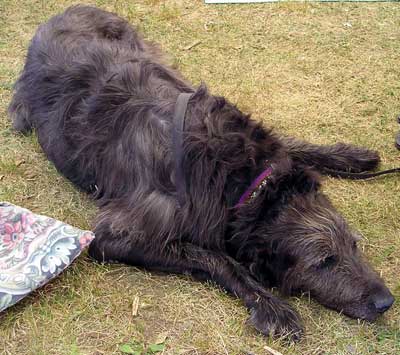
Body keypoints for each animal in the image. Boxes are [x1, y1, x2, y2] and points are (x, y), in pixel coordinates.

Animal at [8, 3, 394, 342]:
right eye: (323, 261)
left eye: (354, 244)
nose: (386, 302)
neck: (245, 181)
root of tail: (60, 14)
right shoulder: (114, 235)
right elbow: (215, 257)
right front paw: (270, 306)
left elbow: (292, 144)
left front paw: (349, 156)